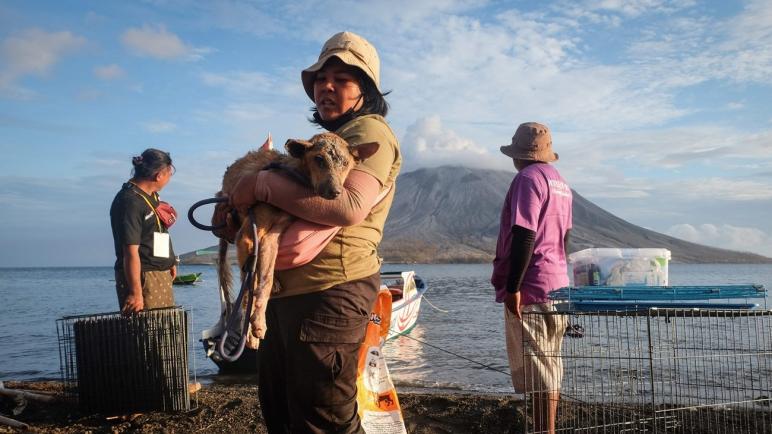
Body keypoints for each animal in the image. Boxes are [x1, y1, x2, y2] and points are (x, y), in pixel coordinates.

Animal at [216, 132, 378, 350]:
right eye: (318, 159)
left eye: (345, 163)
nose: (335, 192)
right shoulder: (248, 236)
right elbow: (249, 290)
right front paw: (251, 331)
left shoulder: (273, 235)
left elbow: (264, 281)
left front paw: (257, 322)